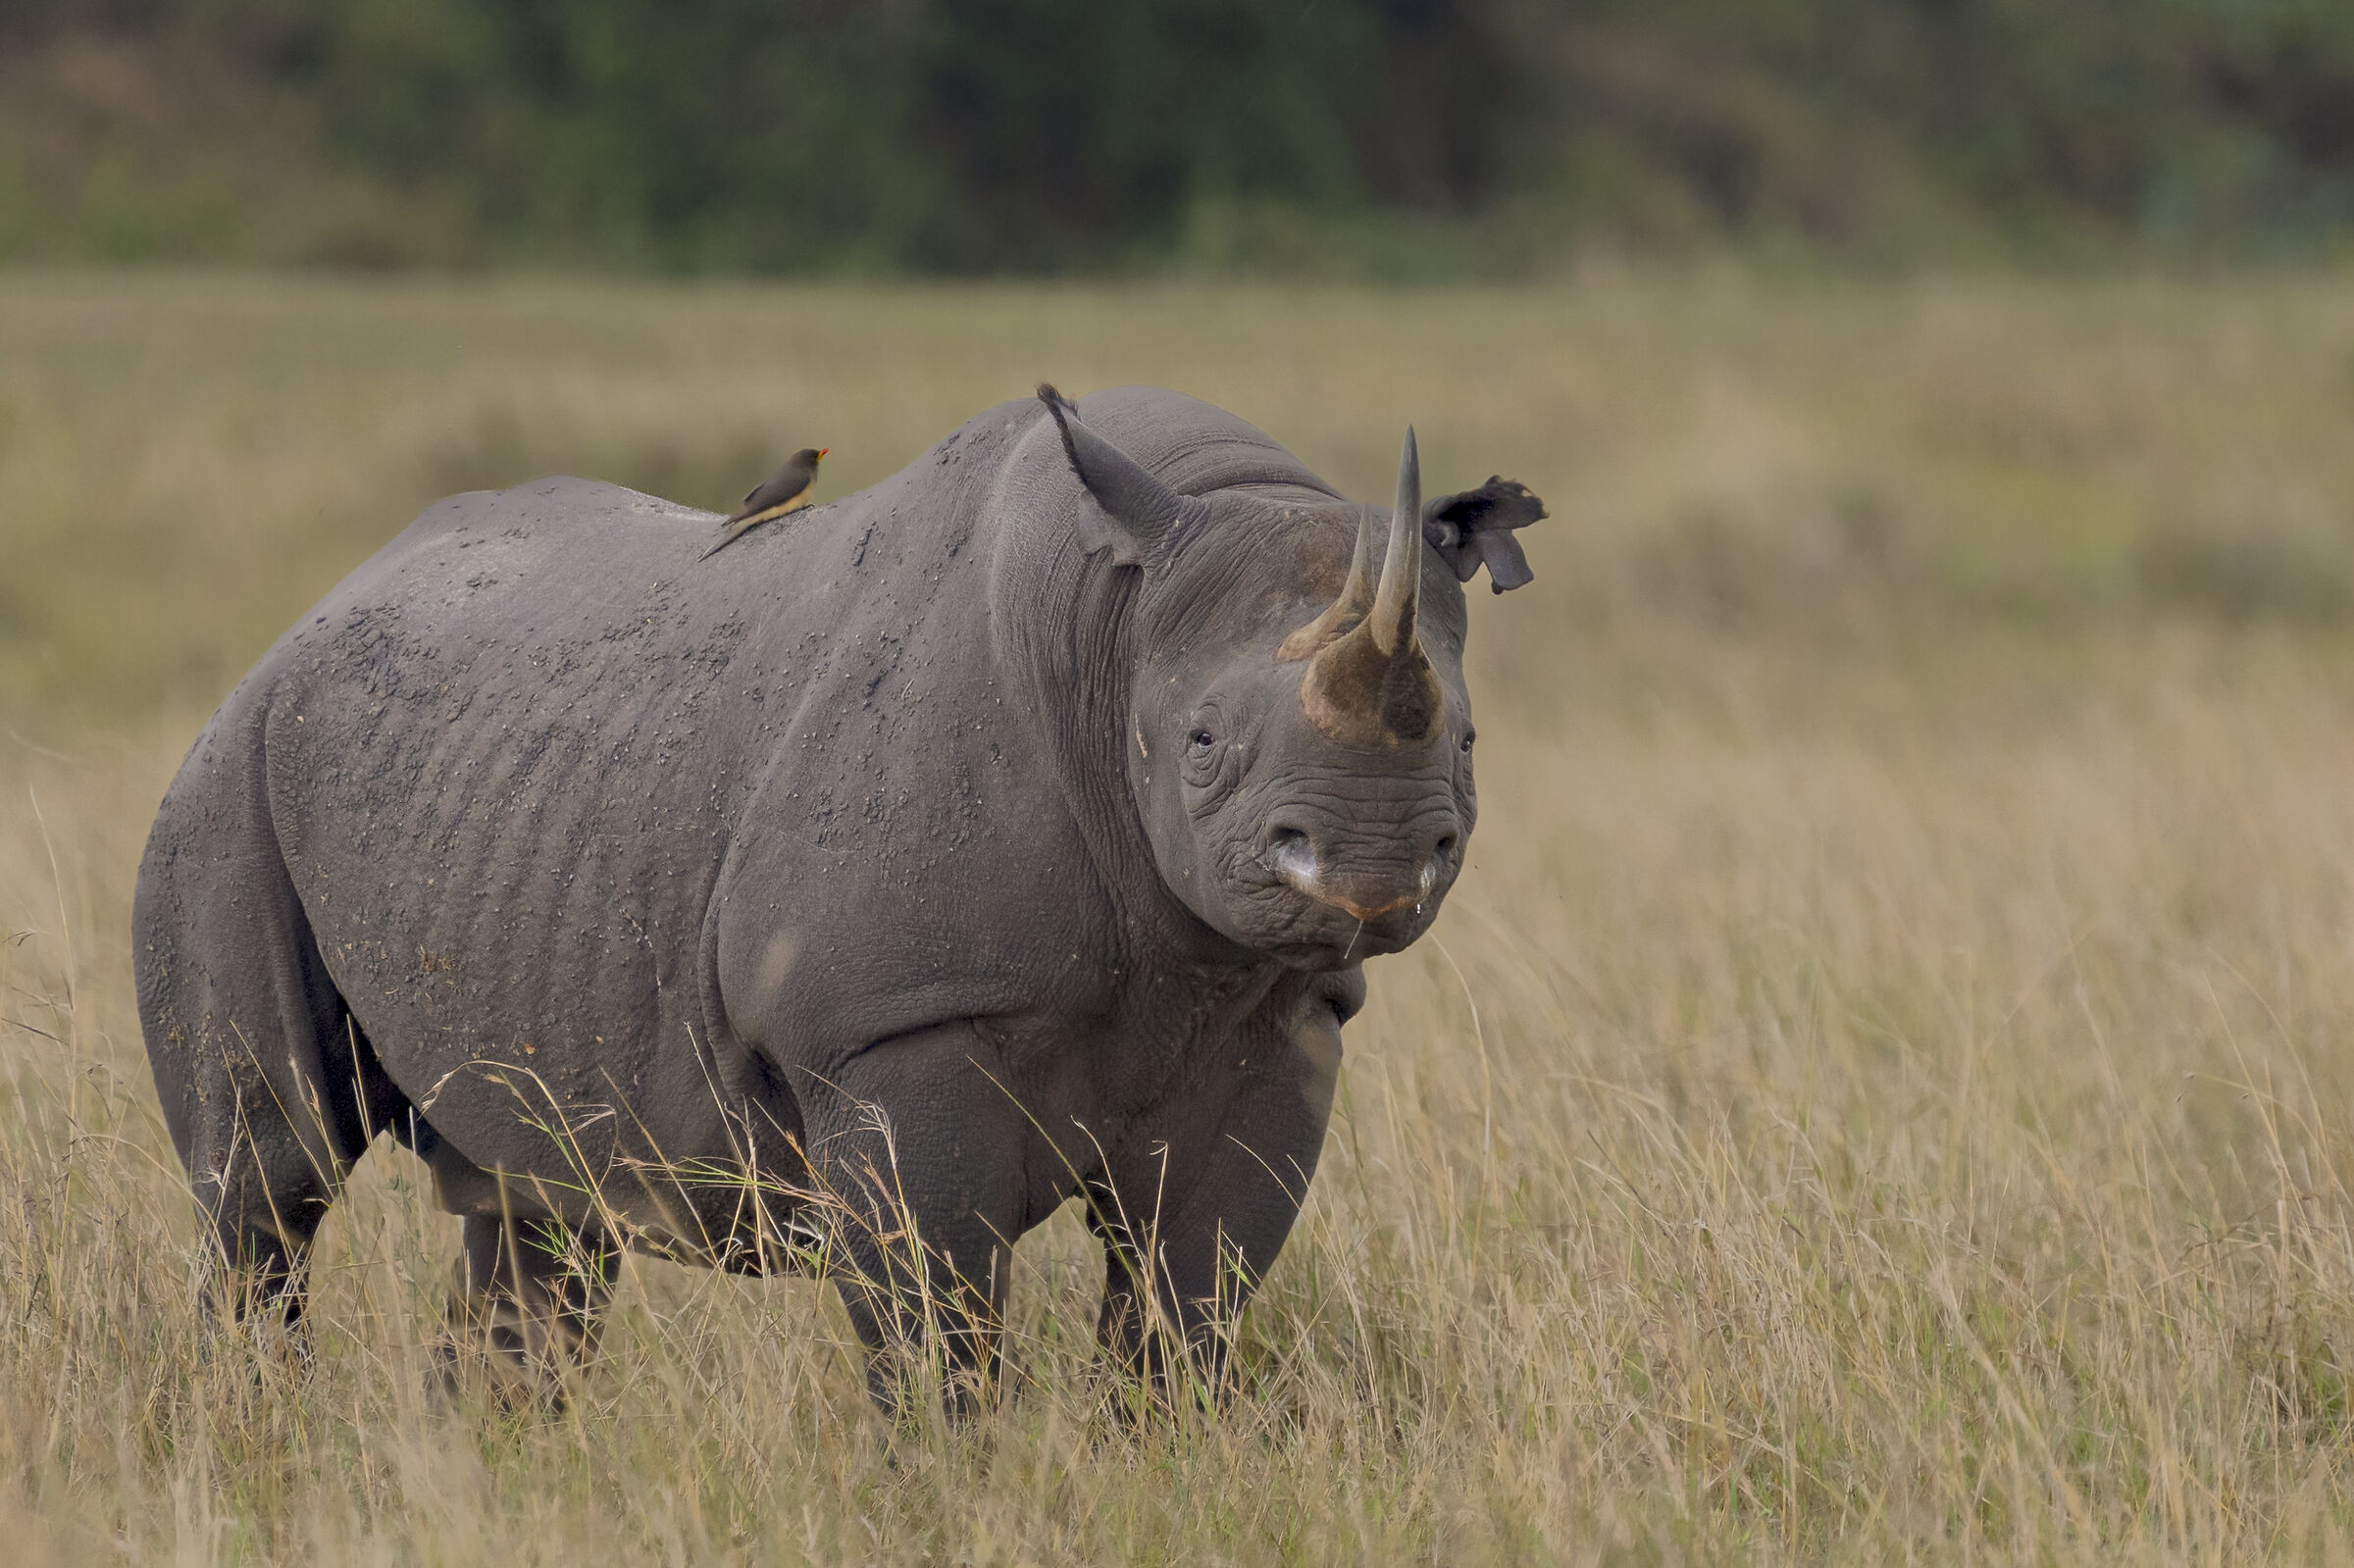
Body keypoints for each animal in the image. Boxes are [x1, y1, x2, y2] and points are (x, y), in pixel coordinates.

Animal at [133, 384, 1543, 1411]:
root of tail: (314, 610)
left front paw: (1157, 1460)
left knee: (533, 1210)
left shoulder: (1281, 1013)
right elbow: (933, 1314)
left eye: (1470, 743)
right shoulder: (895, 1022)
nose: (1371, 862)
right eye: (1201, 746)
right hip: (227, 776)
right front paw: (943, 1484)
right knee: (270, 1180)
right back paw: (258, 1432)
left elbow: (1188, 1298)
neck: (1118, 623)